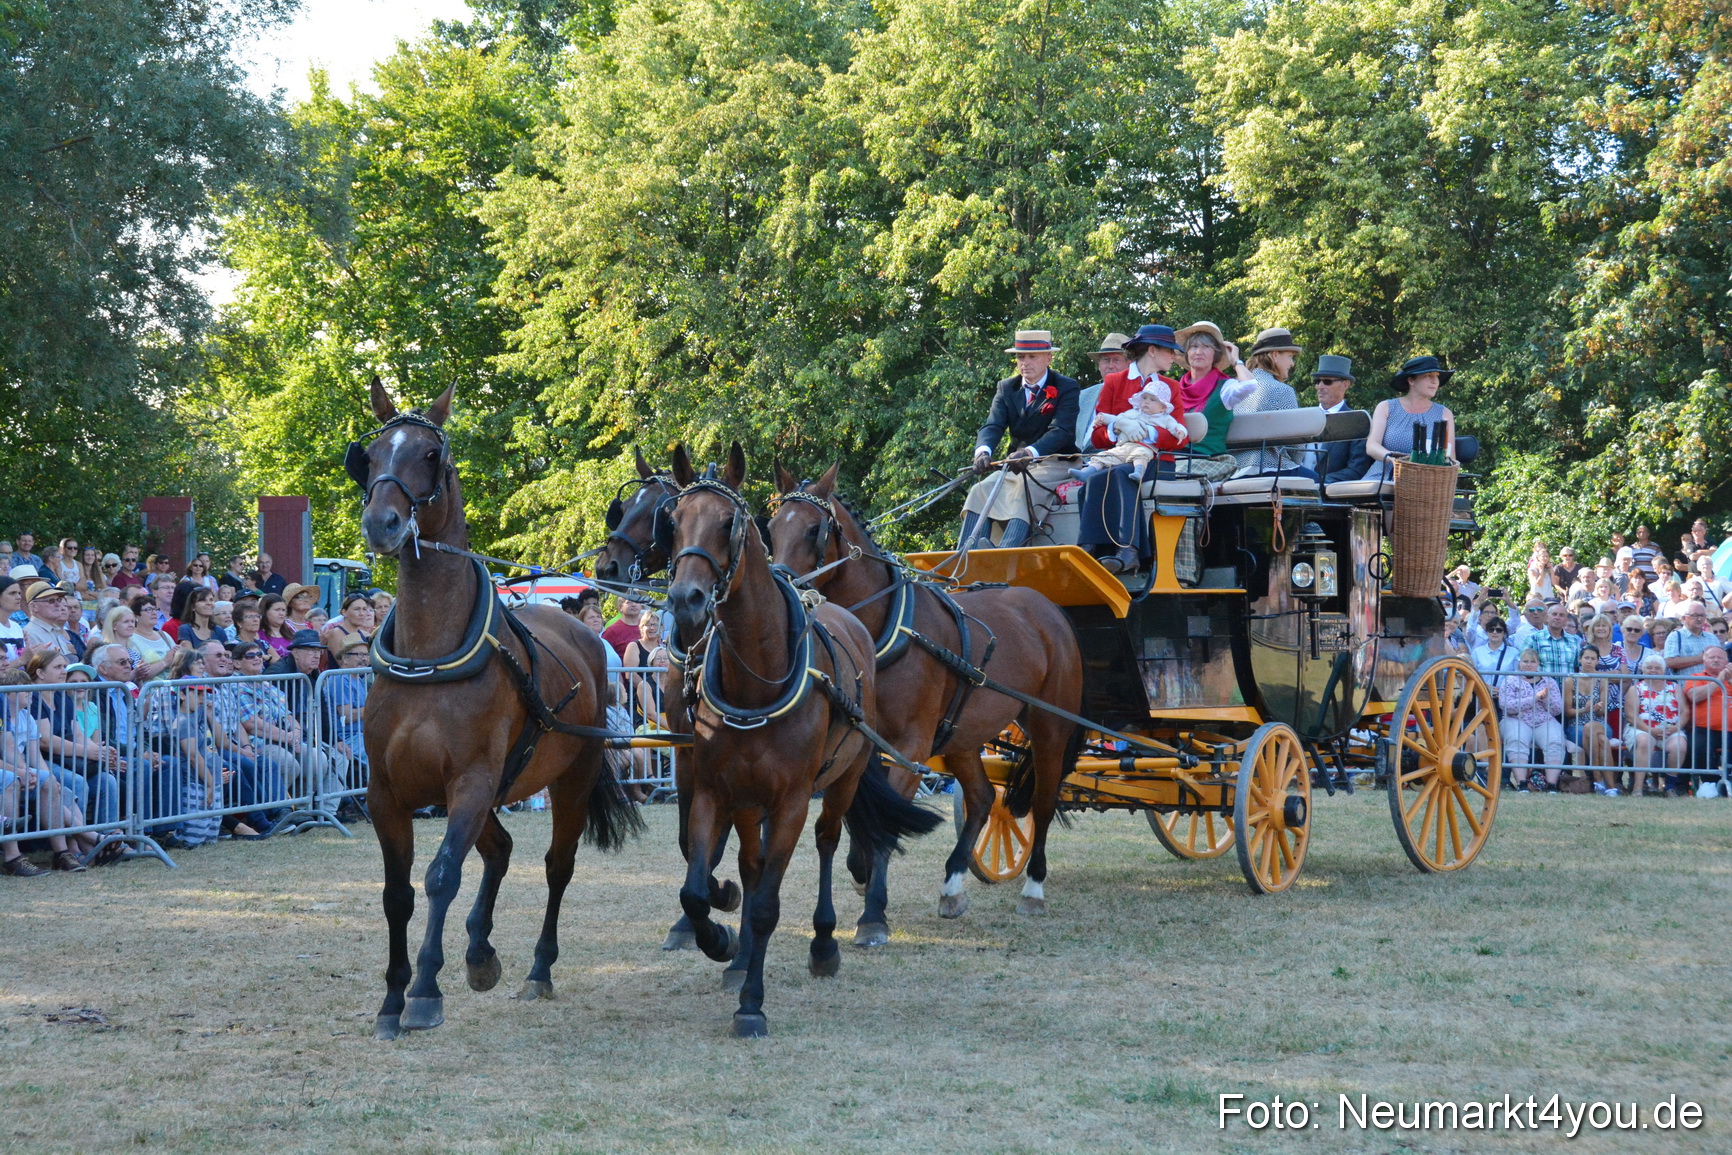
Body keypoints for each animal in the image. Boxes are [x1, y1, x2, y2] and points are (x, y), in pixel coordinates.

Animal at [354, 379, 642, 1040]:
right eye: (371, 453)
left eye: (431, 454)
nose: (382, 522)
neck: (429, 659)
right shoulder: (388, 791)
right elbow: (397, 894)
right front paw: (391, 998)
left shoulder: (470, 782)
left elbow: (441, 876)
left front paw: (424, 992)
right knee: (501, 849)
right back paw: (480, 951)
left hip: (567, 779)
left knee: (556, 865)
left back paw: (538, 968)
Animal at [663, 442, 942, 1037]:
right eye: (673, 521)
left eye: (729, 522)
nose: (686, 600)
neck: (757, 677)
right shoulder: (714, 791)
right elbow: (697, 887)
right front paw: (720, 939)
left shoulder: (791, 800)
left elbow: (769, 904)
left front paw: (752, 1004)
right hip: (749, 800)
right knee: (751, 862)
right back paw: (739, 950)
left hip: (843, 778)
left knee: (828, 841)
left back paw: (825, 942)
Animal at [769, 463, 1083, 926]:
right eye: (772, 527)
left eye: (814, 530)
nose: (785, 587)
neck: (884, 628)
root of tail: (1050, 609)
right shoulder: (863, 744)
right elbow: (867, 815)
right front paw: (863, 875)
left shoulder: (911, 747)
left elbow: (887, 819)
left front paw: (873, 906)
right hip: (963, 733)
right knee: (983, 798)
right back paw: (952, 884)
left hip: (1049, 726)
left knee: (1043, 800)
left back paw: (1034, 887)